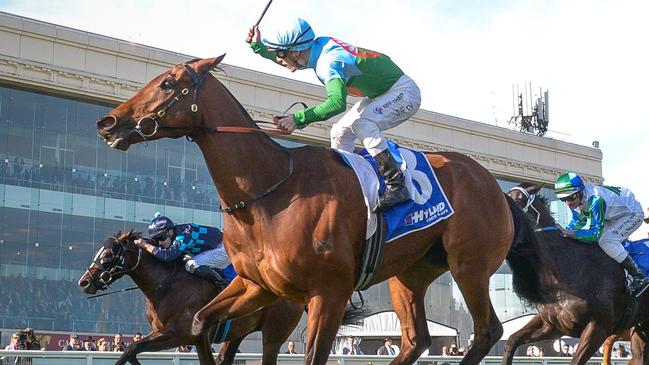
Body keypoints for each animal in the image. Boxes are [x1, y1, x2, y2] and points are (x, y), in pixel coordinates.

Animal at [78, 230, 304, 364]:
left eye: (108, 254)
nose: (84, 282)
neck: (165, 285)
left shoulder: (183, 334)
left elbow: (132, 347)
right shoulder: (188, 336)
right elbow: (132, 350)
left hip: (274, 334)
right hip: (239, 332)